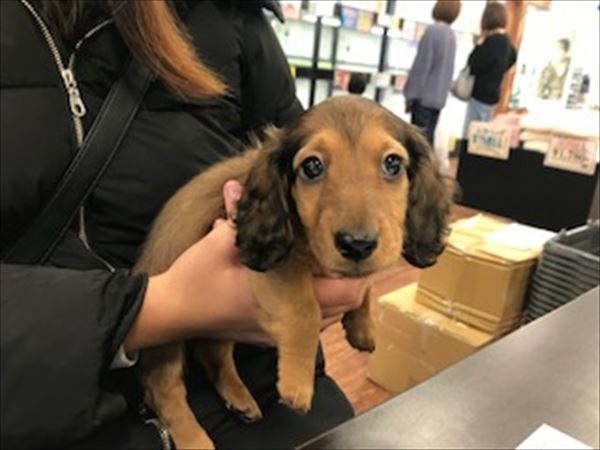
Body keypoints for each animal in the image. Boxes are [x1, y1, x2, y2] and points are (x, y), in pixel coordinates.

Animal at [133, 95, 453, 449]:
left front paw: (362, 324)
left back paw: (239, 398)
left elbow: (365, 285)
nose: (357, 244)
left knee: (212, 351)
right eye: (312, 167)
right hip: (169, 339)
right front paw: (297, 383)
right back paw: (194, 439)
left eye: (393, 163)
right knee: (163, 387)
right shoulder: (277, 265)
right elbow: (305, 311)